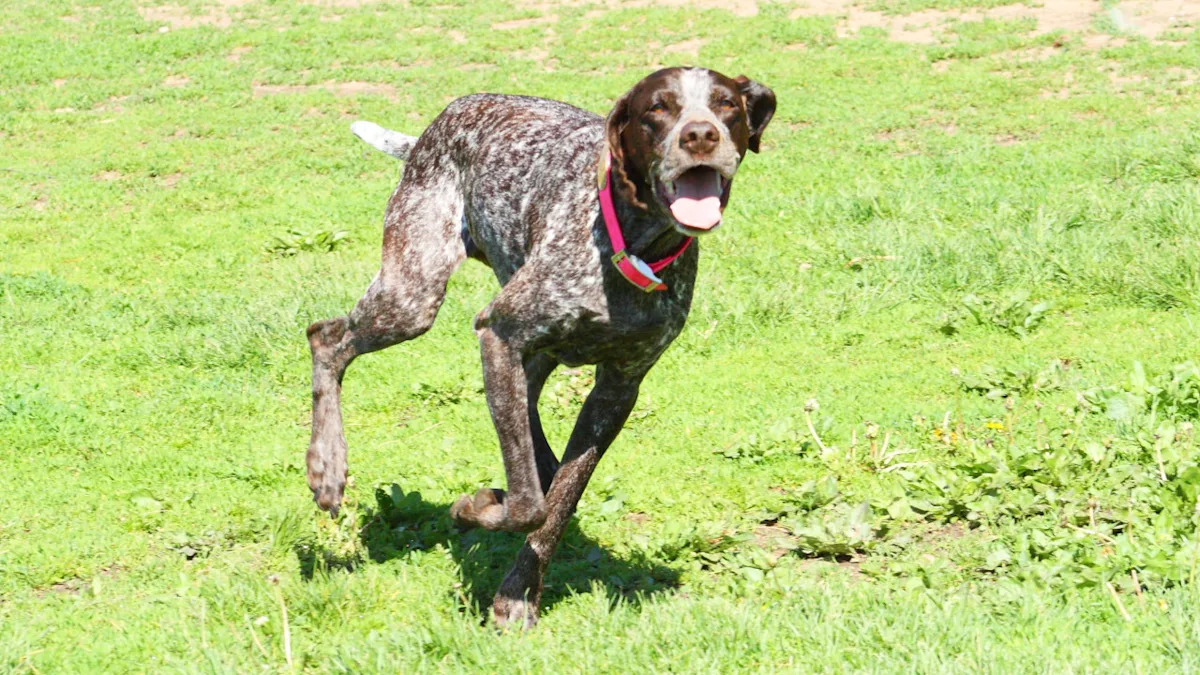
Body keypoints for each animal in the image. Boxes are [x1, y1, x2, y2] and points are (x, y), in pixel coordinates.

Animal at [306, 67, 775, 628]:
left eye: (727, 104)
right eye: (658, 109)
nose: (701, 135)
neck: (634, 243)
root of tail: (438, 123)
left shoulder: (617, 389)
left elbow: (559, 500)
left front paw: (516, 593)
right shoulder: (500, 333)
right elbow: (531, 505)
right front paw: (476, 509)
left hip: (520, 349)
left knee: (531, 431)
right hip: (412, 300)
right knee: (326, 338)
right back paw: (327, 467)